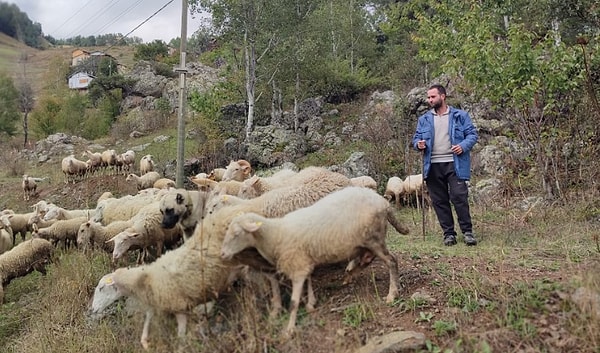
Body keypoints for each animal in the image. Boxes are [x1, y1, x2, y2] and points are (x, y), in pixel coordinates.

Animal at [220, 187, 408, 332]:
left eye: (236, 234)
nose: (222, 255)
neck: (276, 234)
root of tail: (383, 202)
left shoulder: (297, 266)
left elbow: (294, 301)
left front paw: (289, 329)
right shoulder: (304, 262)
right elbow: (309, 279)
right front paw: (311, 304)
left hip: (374, 238)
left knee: (391, 261)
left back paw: (392, 293)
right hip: (367, 240)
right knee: (368, 258)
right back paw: (350, 273)